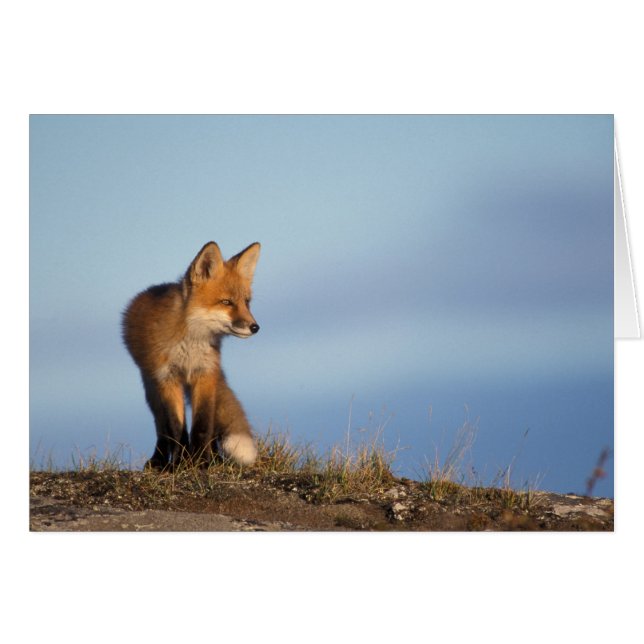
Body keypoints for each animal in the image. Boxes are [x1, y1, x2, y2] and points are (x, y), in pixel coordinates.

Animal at [122, 241, 261, 470]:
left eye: (246, 302)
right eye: (226, 302)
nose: (255, 327)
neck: (190, 344)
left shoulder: (205, 374)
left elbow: (203, 425)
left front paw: (202, 461)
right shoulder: (167, 378)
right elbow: (176, 427)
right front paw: (181, 463)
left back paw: (214, 458)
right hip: (151, 388)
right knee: (162, 428)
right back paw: (160, 460)